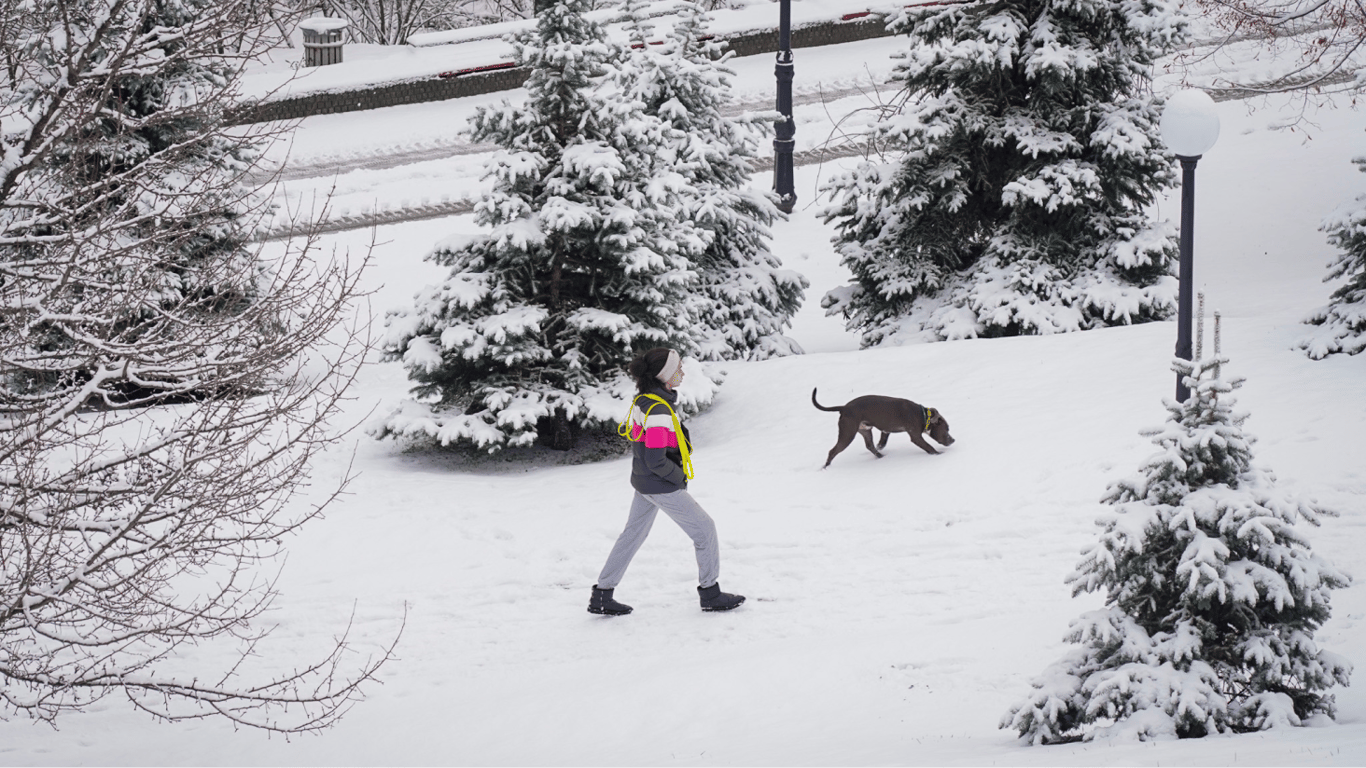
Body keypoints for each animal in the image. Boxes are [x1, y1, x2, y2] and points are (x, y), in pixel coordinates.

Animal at [808, 388, 950, 467]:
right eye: (947, 429)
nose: (952, 440)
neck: (923, 415)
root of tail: (844, 408)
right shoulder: (915, 436)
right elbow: (928, 447)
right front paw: (938, 454)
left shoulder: (885, 431)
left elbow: (881, 443)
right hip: (847, 434)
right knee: (832, 451)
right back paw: (825, 468)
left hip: (865, 431)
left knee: (870, 446)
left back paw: (881, 457)